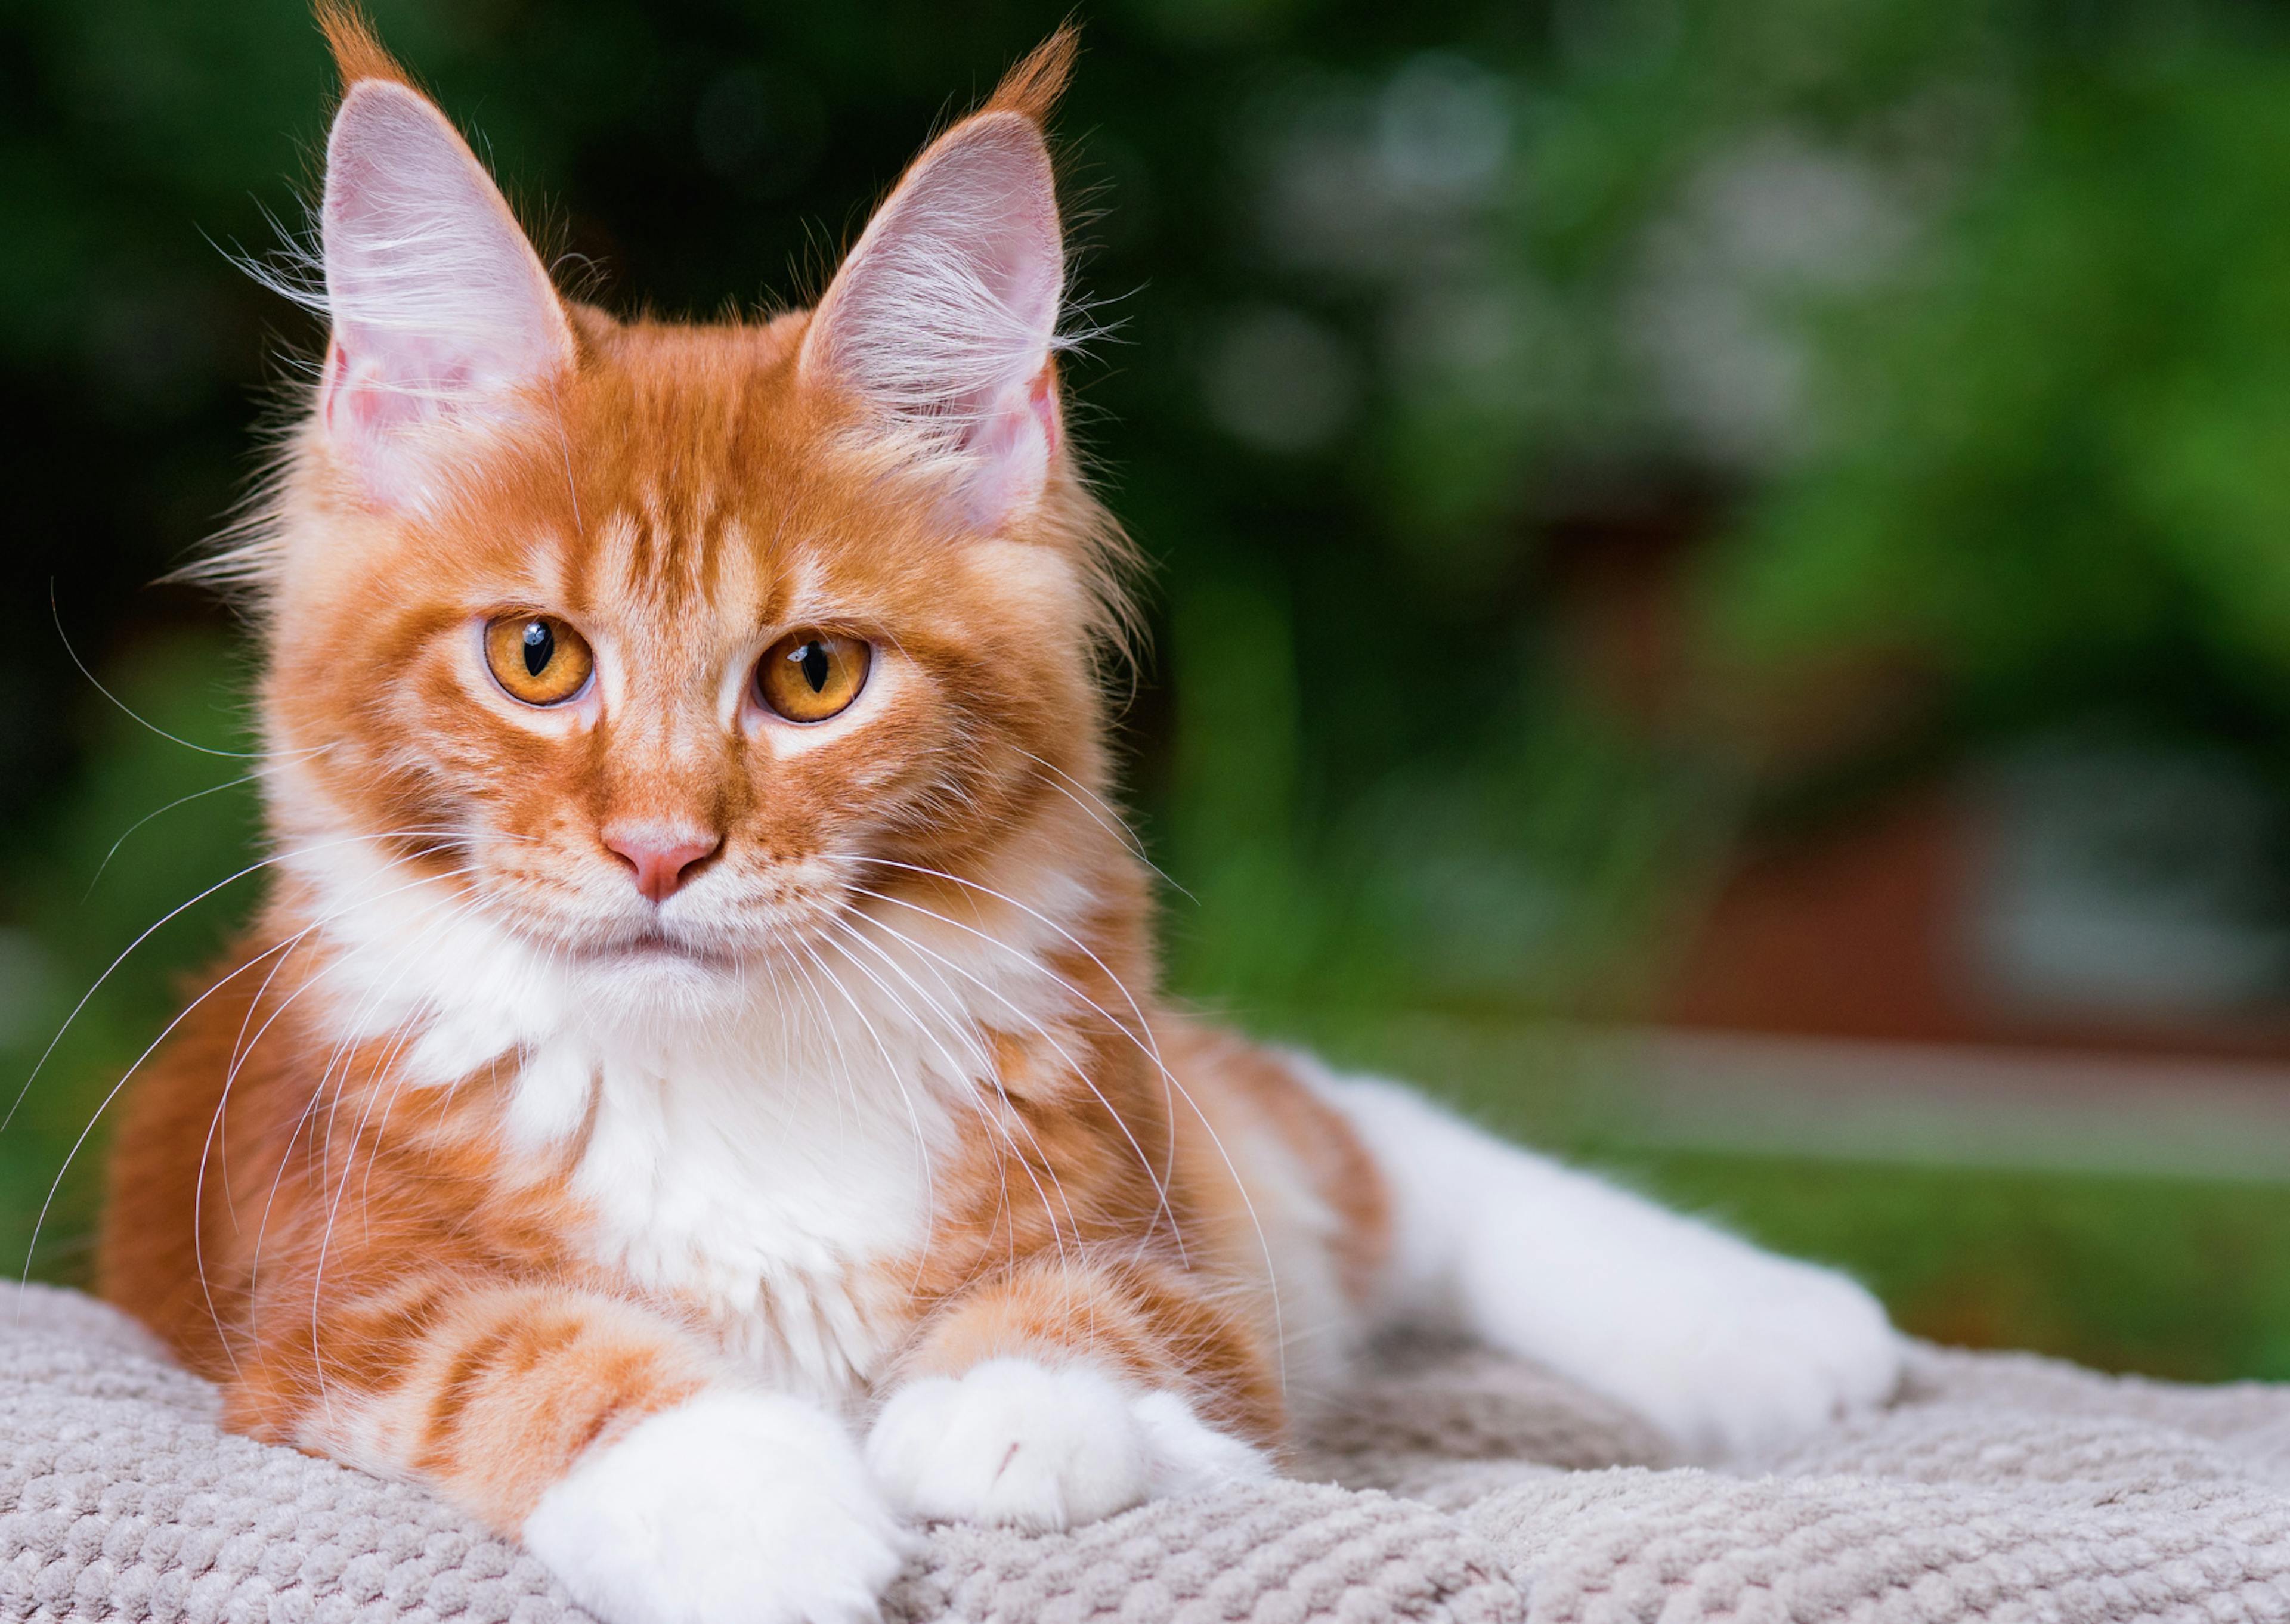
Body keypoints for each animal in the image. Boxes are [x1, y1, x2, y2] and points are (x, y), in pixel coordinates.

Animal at [98, 13, 1905, 1622]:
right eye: (536, 657)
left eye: (814, 674)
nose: (663, 848)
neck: (727, 1083)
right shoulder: (322, 1313)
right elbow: (523, 1351)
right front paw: (755, 1515)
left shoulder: (1171, 1249)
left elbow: (1092, 1316)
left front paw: (1000, 1414)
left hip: (1215, 1124)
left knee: (1381, 1143)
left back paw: (1791, 1326)